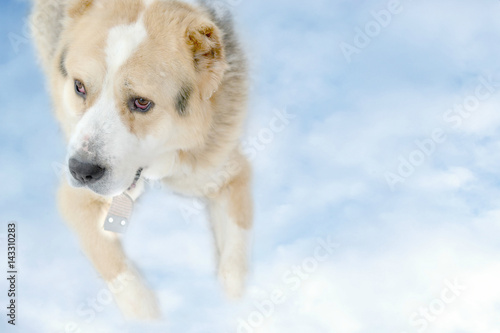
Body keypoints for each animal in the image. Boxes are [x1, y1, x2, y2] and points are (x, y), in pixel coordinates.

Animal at [29, 0, 252, 318]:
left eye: (142, 102)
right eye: (79, 86)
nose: (81, 171)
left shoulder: (228, 172)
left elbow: (234, 264)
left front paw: (235, 308)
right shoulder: (75, 199)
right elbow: (117, 269)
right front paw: (150, 317)